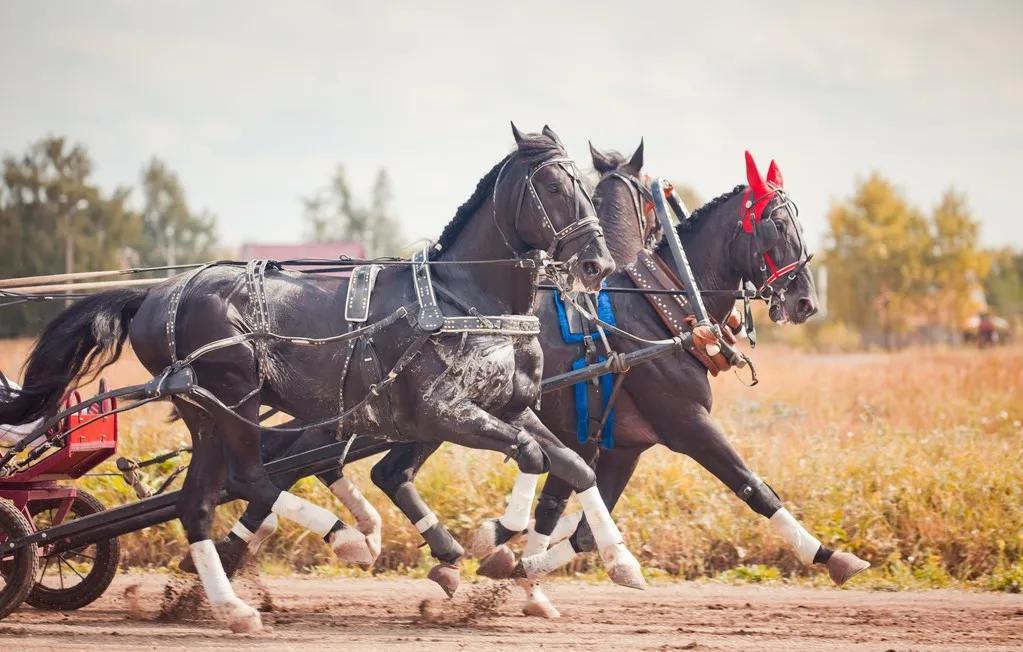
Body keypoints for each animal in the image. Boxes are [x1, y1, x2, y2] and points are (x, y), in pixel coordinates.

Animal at [0, 123, 646, 630]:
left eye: (584, 187)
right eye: (553, 187)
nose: (597, 262)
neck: (463, 298)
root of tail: (157, 295)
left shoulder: (512, 406)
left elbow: (574, 464)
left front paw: (618, 562)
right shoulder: (444, 412)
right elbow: (532, 458)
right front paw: (494, 542)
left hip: (209, 410)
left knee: (198, 502)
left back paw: (234, 607)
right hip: (231, 394)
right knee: (251, 479)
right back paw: (349, 537)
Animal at [468, 142, 867, 614]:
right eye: (778, 225)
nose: (806, 301)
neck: (659, 313)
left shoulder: (621, 445)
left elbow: (575, 522)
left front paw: (523, 572)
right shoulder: (687, 423)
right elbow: (754, 487)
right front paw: (828, 554)